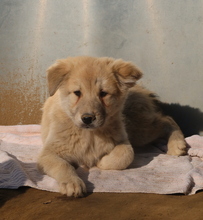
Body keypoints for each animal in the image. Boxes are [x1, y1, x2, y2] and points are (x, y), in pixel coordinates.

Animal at [37, 55, 186, 197]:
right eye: (77, 93)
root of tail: (139, 88)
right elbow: (62, 166)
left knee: (167, 119)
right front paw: (72, 183)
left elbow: (126, 155)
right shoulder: (49, 152)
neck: (90, 134)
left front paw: (101, 162)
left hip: (138, 130)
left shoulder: (122, 140)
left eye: (103, 93)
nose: (87, 119)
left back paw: (177, 145)